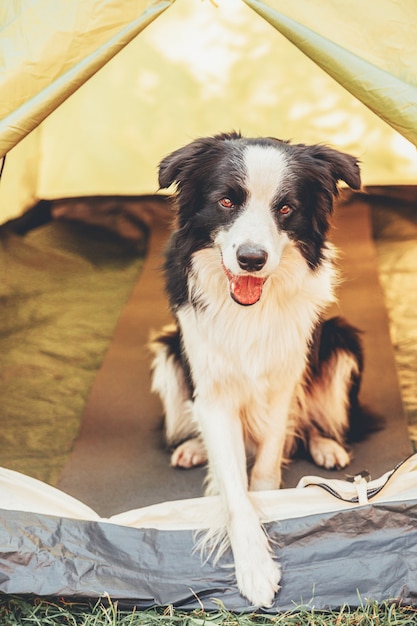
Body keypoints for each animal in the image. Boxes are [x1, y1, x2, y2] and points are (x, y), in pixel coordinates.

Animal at [150, 130, 368, 604]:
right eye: (226, 201)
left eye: (285, 208)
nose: (252, 259)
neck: (249, 308)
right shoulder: (212, 390)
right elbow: (234, 486)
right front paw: (254, 566)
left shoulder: (285, 377)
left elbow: (267, 459)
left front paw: (276, 506)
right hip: (168, 355)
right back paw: (193, 448)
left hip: (341, 341)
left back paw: (326, 445)